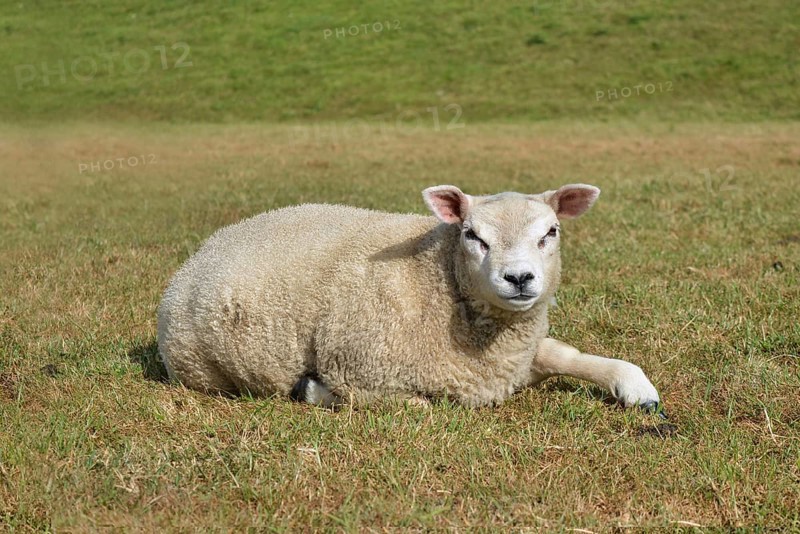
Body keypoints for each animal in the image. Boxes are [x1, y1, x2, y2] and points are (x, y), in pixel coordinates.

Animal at [157, 184, 661, 412]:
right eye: (472, 235)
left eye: (550, 232)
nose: (519, 278)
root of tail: (209, 245)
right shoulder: (360, 368)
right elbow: (415, 404)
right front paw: (314, 390)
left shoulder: (516, 356)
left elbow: (570, 355)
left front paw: (636, 387)